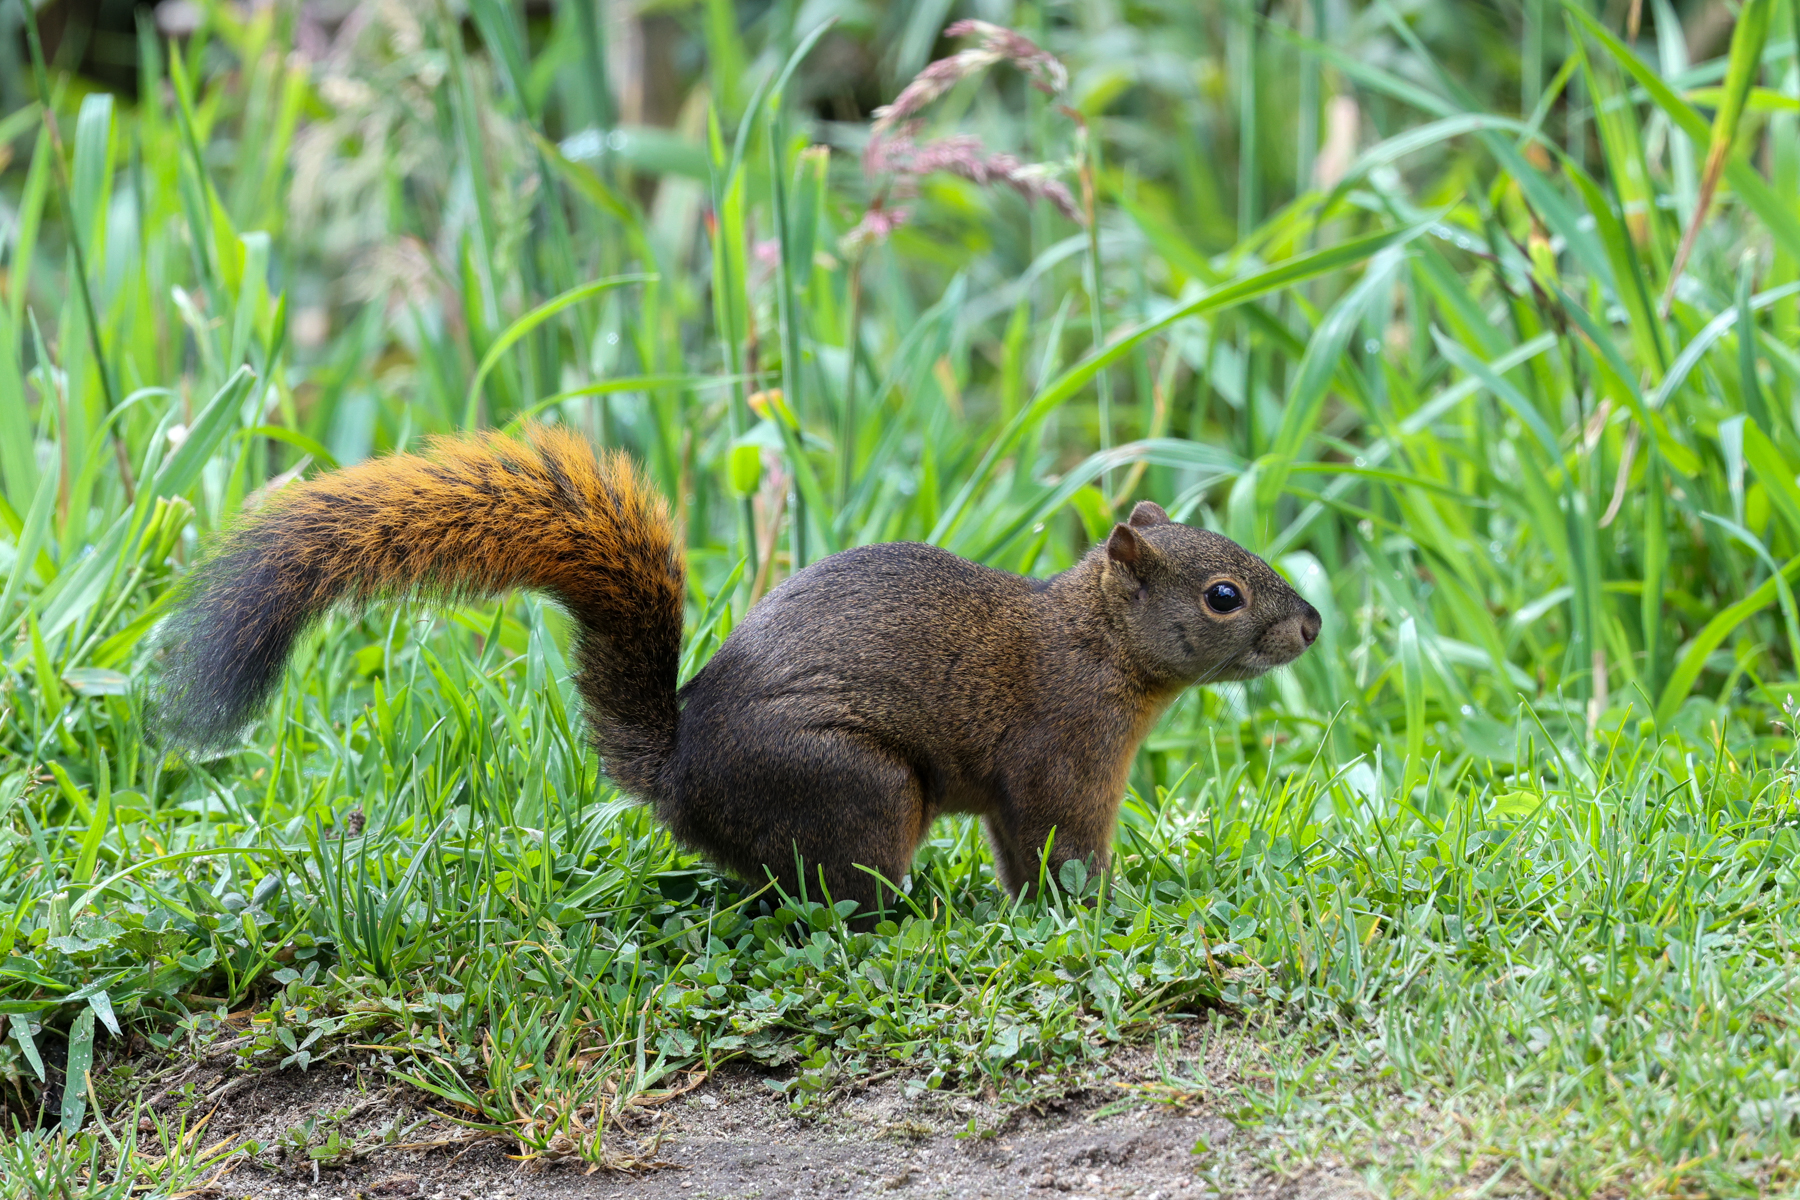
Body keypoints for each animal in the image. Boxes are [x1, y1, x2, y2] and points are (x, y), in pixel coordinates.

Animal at [155, 426, 1321, 915]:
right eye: (1223, 596)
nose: (1309, 626)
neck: (1097, 645)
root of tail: (679, 774)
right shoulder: (1060, 752)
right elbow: (1055, 849)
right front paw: (1105, 906)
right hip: (858, 788)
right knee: (841, 898)